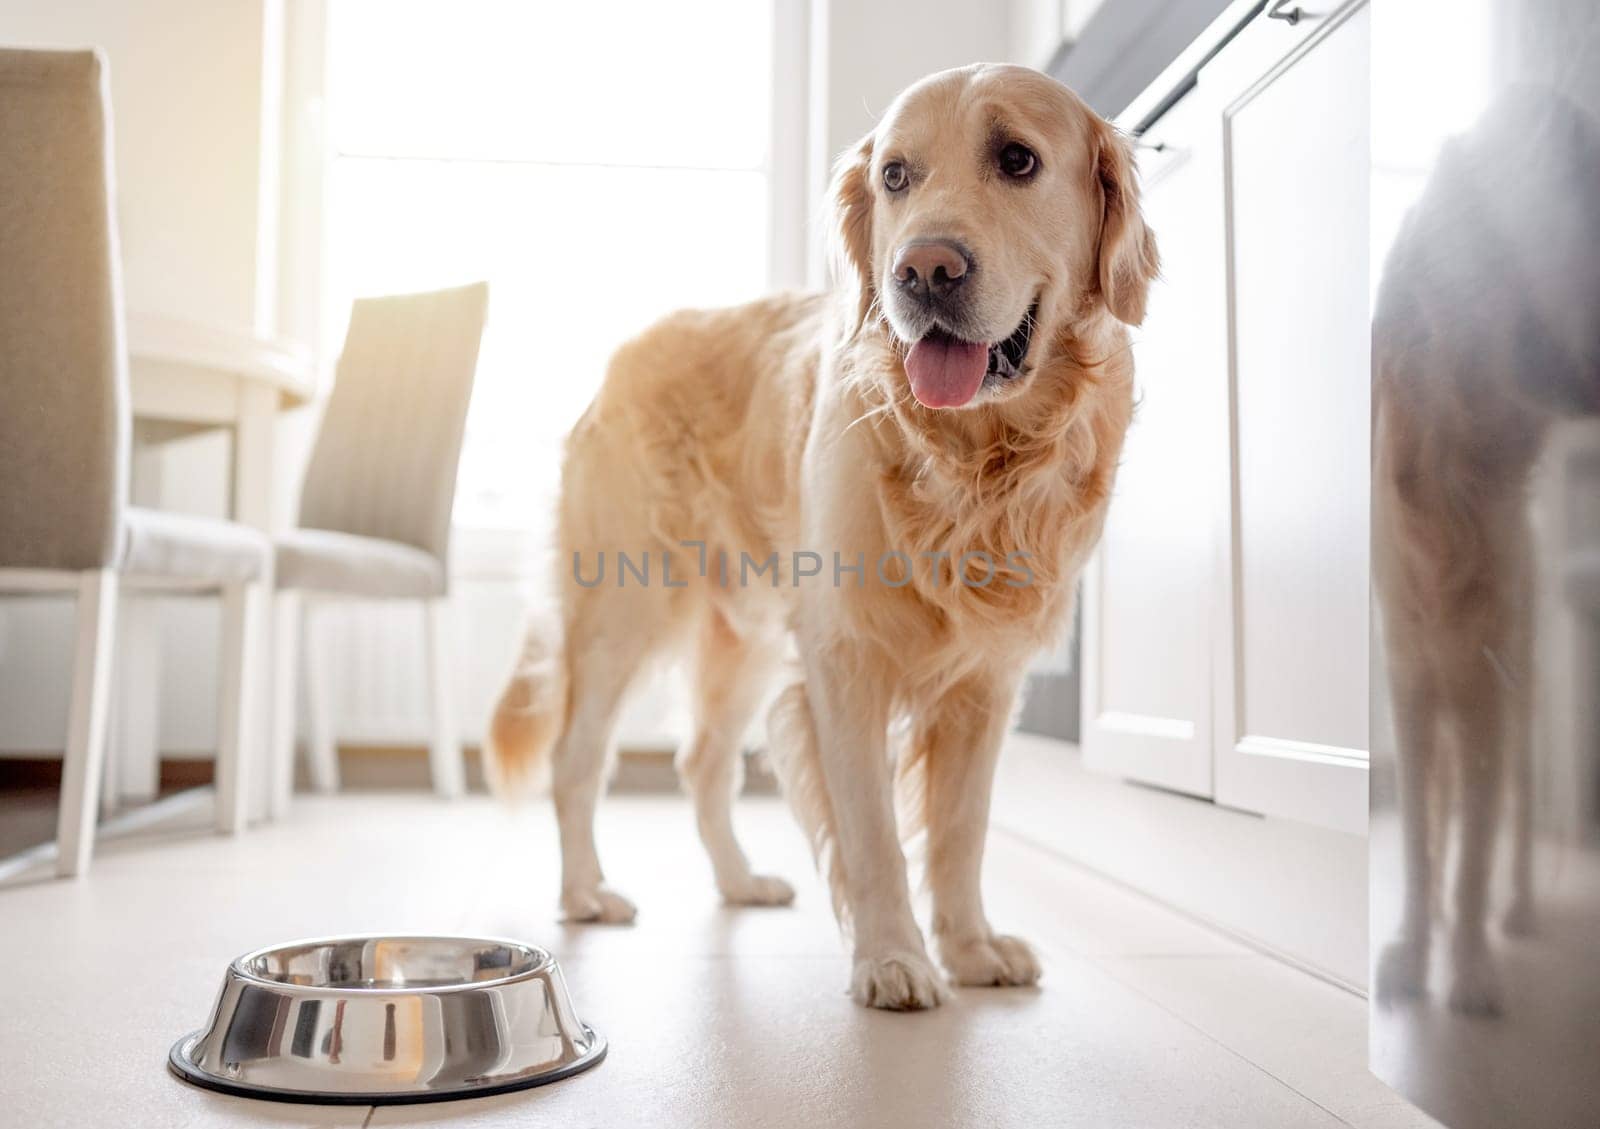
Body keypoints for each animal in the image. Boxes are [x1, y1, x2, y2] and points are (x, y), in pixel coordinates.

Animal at [480, 65, 1158, 1004]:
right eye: (896, 176)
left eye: (1018, 159)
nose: (924, 269)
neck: (973, 459)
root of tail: (625, 353)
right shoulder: (844, 657)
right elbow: (872, 831)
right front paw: (895, 957)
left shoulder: (986, 678)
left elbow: (961, 828)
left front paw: (971, 946)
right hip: (624, 609)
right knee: (577, 762)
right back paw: (586, 892)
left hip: (749, 638)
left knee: (702, 763)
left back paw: (738, 881)